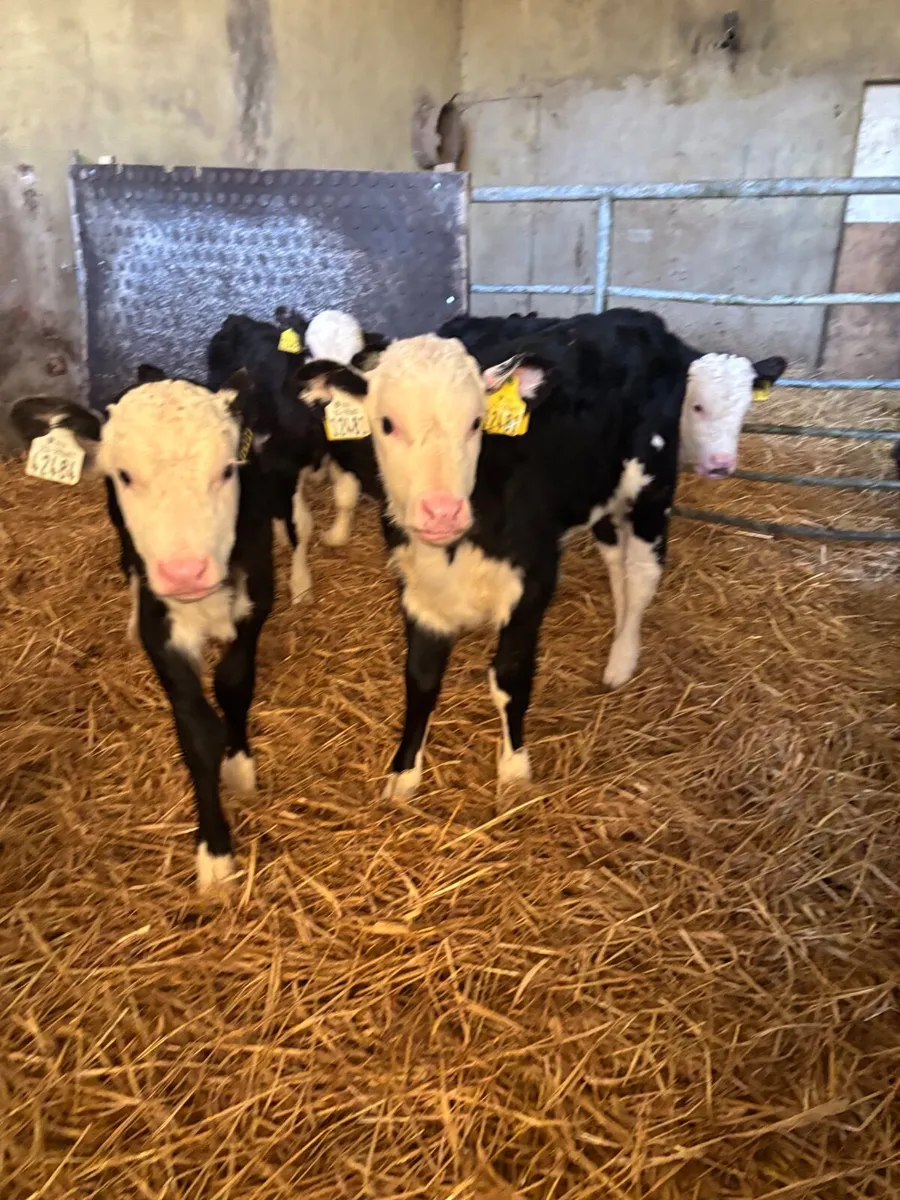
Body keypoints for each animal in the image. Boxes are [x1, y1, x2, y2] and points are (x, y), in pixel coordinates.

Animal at [12, 366, 274, 892]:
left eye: (227, 470)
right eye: (126, 476)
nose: (184, 572)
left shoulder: (257, 600)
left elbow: (234, 684)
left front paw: (239, 766)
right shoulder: (163, 634)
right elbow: (197, 731)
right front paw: (215, 852)